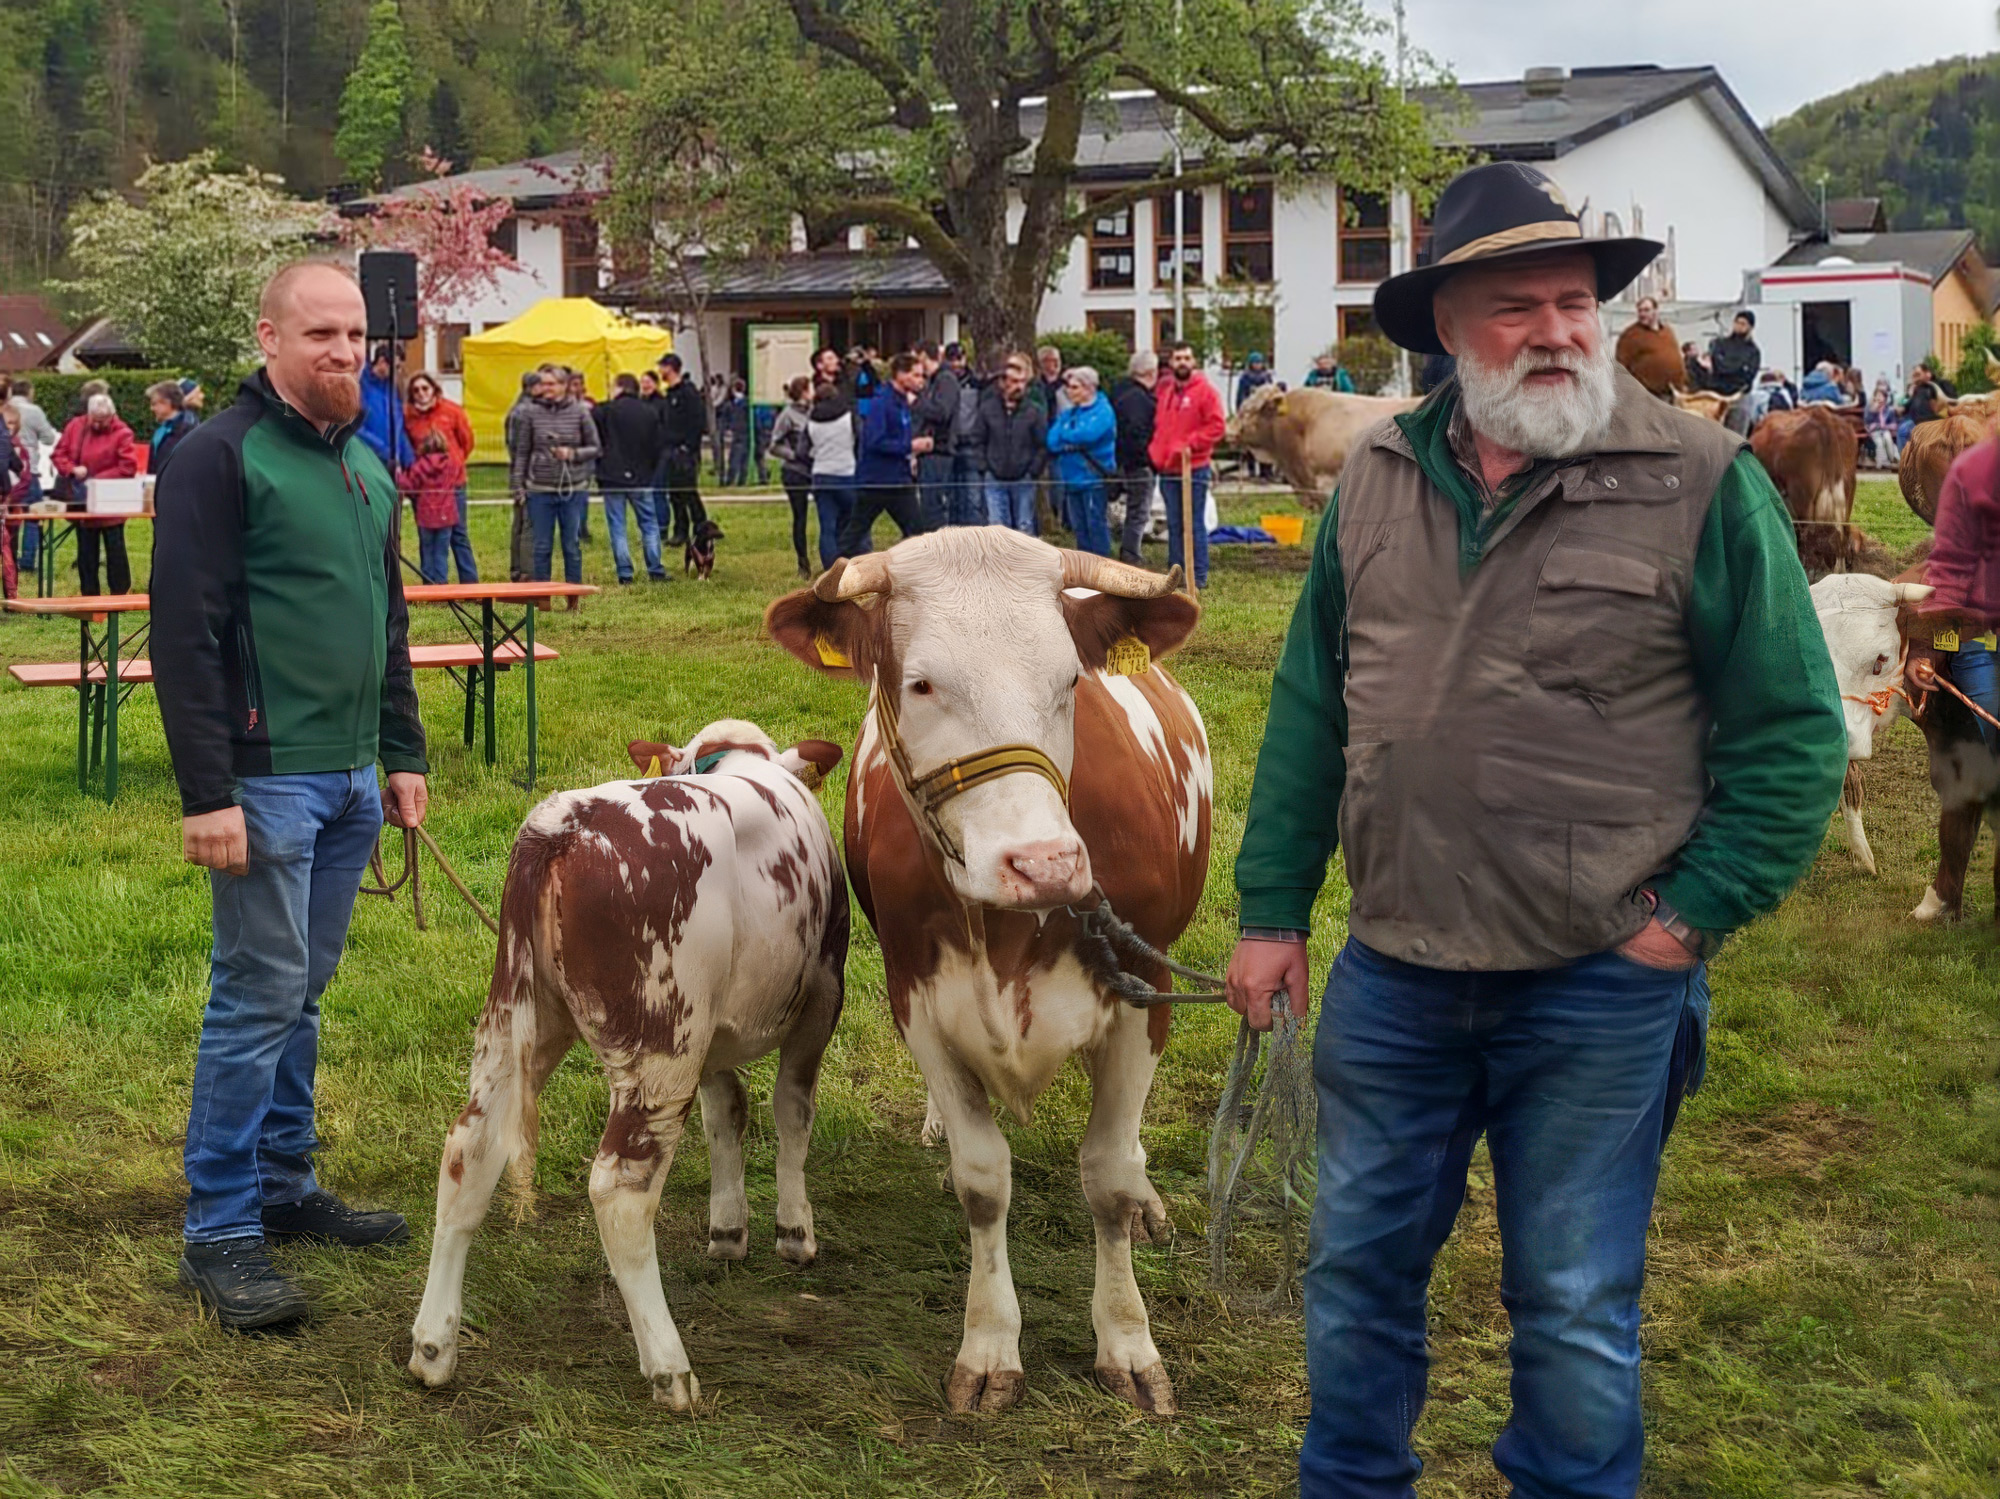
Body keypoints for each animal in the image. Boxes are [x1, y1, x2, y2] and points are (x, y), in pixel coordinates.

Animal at [406, 723, 844, 1415]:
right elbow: (791, 1112)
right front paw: (794, 1231)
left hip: (515, 1024)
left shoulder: (713, 1035)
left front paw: (729, 1229)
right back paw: (669, 1367)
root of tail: (563, 822)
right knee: (619, 1189)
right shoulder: (822, 994)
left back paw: (432, 1348)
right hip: (660, 1048)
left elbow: (727, 1114)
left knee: (467, 1153)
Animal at [760, 527, 1200, 1423]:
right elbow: (983, 1178)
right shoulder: (920, 1002)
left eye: (1072, 679)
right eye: (922, 682)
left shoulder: (1143, 995)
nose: (1044, 863)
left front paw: (1128, 1342)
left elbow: (1108, 1173)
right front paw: (991, 1344)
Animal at [1752, 405, 1856, 579]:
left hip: (1801, 493)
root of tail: (1823, 417)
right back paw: (1839, 571)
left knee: (1808, 531)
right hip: (1848, 488)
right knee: (1843, 528)